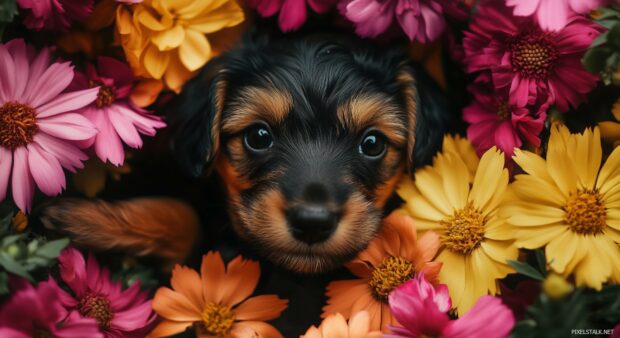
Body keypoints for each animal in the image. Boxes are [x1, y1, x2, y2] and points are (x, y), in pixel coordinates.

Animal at [37, 31, 450, 274]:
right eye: (259, 136)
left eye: (372, 144)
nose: (312, 222)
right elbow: (185, 218)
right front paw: (88, 218)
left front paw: (84, 218)